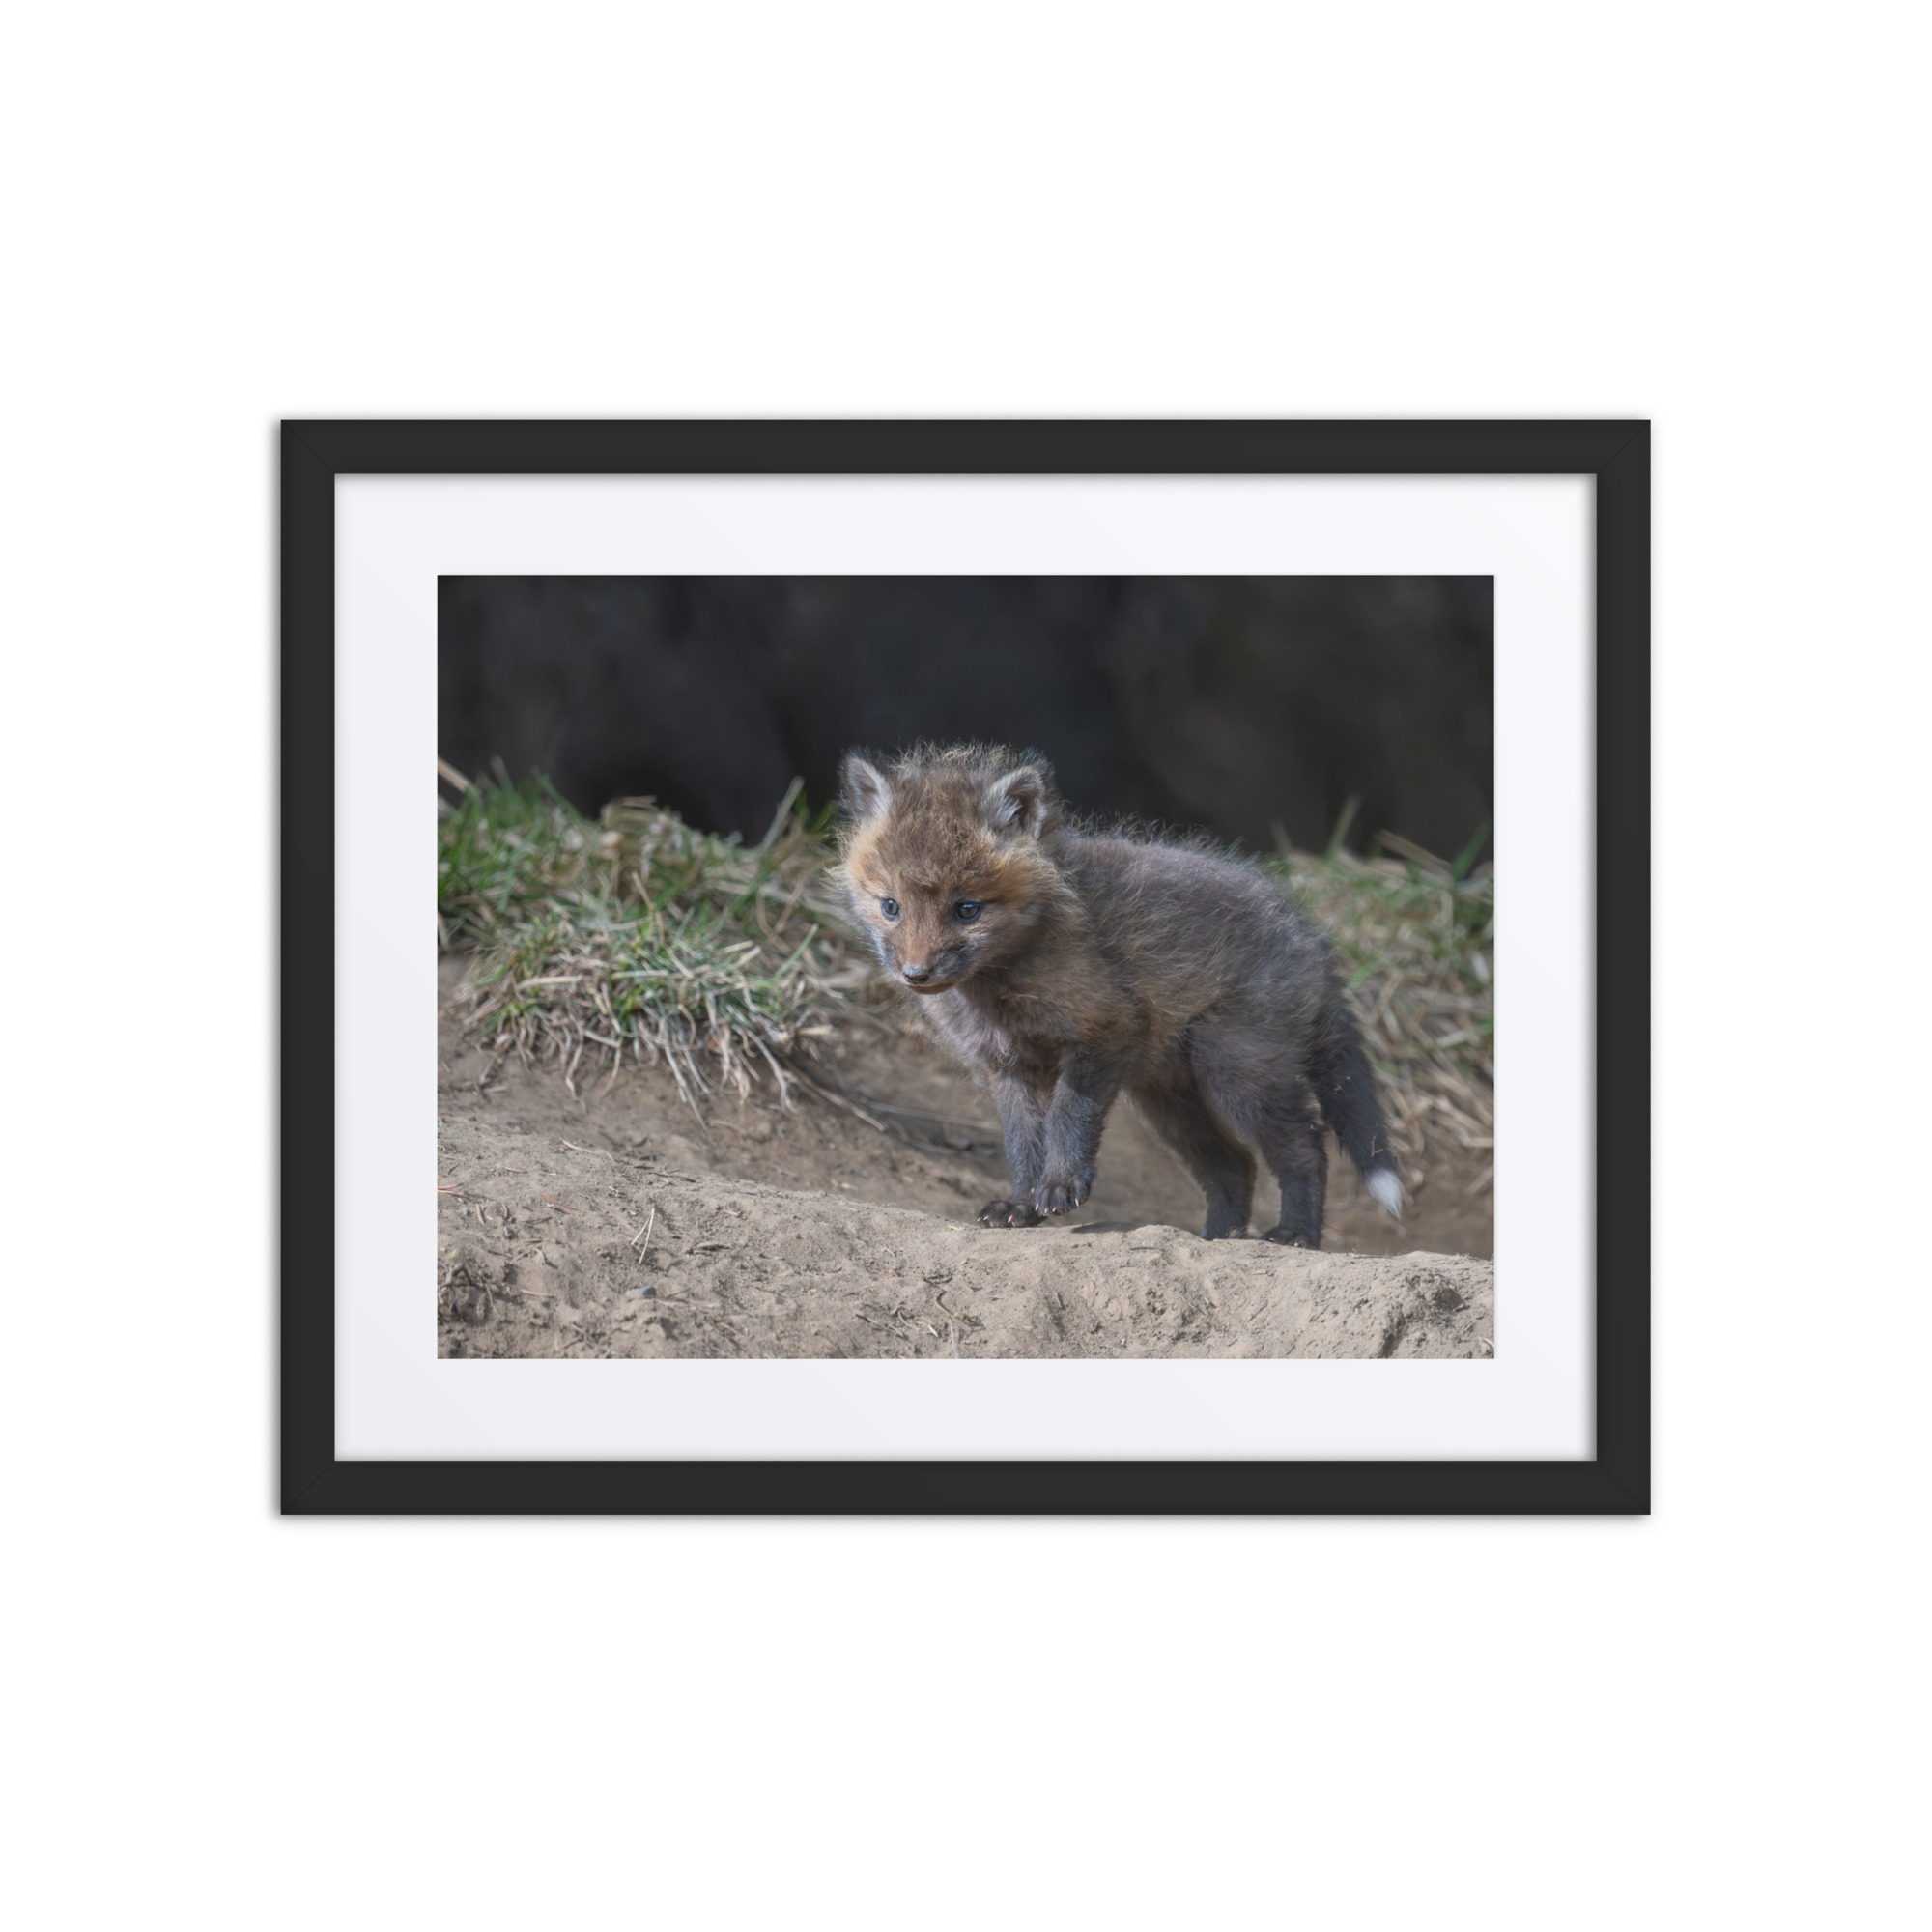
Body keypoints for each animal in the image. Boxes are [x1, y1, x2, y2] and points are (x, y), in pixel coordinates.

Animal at [836, 743, 1403, 1248]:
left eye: (967, 909)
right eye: (890, 907)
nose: (916, 974)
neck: (1001, 989)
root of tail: (1310, 936)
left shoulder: (1105, 1030)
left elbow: (1068, 1118)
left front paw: (1061, 1186)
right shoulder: (1008, 1067)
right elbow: (1023, 1144)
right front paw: (1020, 1204)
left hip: (1236, 1074)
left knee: (1306, 1148)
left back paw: (1295, 1234)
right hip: (1170, 1102)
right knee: (1235, 1167)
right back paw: (1218, 1239)